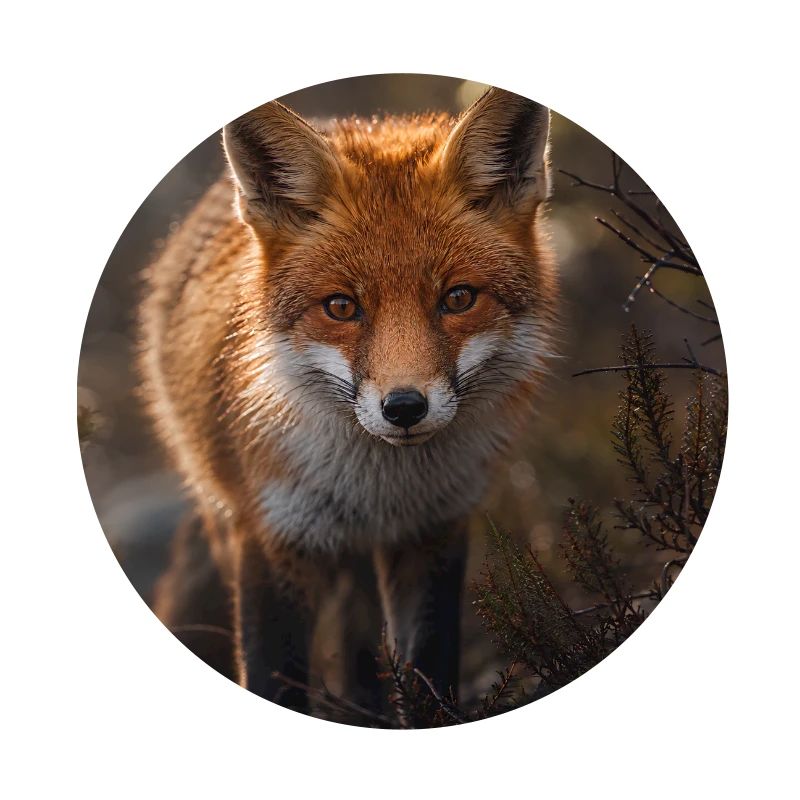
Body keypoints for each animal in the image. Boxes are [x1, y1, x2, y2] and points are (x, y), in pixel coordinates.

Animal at [139, 86, 558, 716]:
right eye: (341, 307)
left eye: (458, 298)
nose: (404, 407)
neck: (377, 490)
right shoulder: (272, 536)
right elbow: (274, 679)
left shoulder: (433, 532)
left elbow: (429, 679)